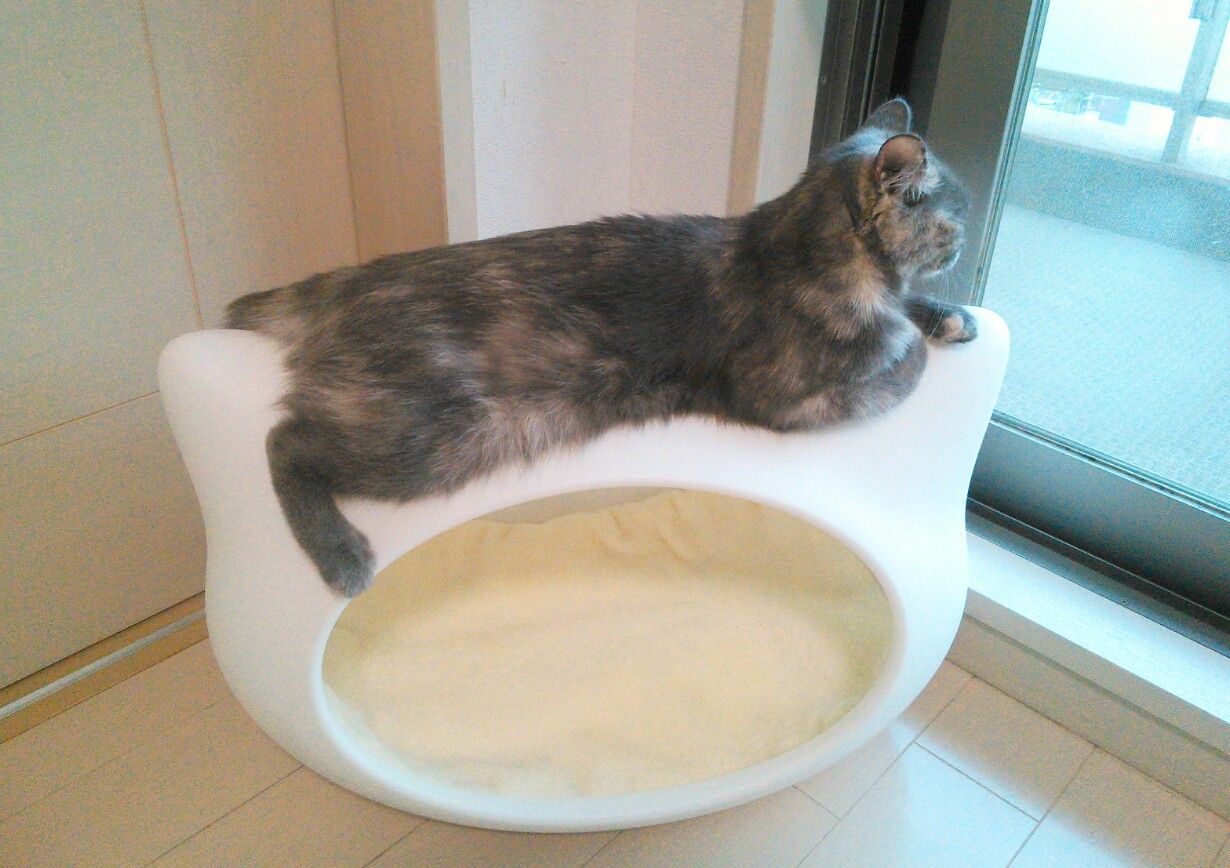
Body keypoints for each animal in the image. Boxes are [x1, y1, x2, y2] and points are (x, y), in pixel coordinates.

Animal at [226, 98, 974, 597]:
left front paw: (950, 316)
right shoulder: (785, 399)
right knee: (284, 442)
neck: (799, 246)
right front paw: (916, 338)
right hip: (440, 434)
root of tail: (343, 281)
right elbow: (900, 362)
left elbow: (909, 309)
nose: (967, 243)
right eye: (955, 219)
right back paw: (341, 556)